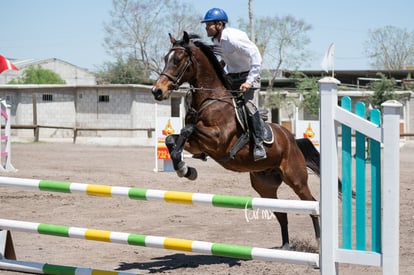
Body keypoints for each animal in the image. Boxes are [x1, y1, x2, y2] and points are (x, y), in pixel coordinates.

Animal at [151, 31, 320, 251]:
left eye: (178, 60)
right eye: (165, 59)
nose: (157, 91)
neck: (209, 100)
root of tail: (292, 140)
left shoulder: (218, 140)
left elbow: (188, 128)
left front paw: (183, 167)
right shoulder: (198, 145)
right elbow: (173, 138)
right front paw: (185, 169)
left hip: (296, 178)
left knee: (312, 205)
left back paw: (318, 241)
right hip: (264, 186)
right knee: (281, 212)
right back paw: (285, 246)